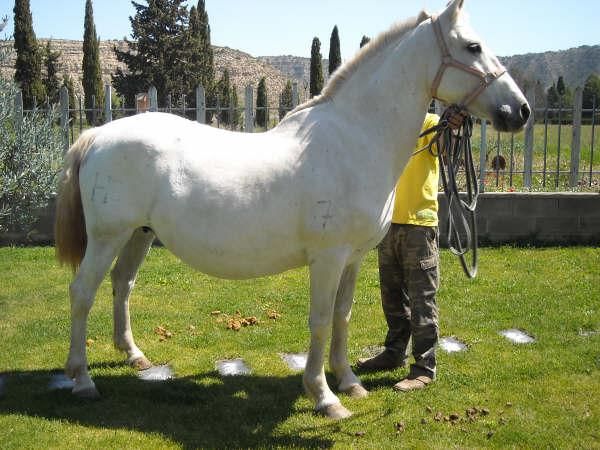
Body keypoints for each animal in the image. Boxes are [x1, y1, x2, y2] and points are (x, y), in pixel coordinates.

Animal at [54, 0, 528, 420]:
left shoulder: (353, 258)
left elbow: (342, 315)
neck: (355, 139)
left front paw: (349, 381)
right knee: (82, 293)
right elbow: (319, 320)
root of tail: (96, 135)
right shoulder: (328, 258)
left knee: (122, 284)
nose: (520, 111)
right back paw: (82, 380)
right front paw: (324, 396)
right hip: (108, 237)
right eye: (472, 46)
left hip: (140, 233)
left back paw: (134, 356)